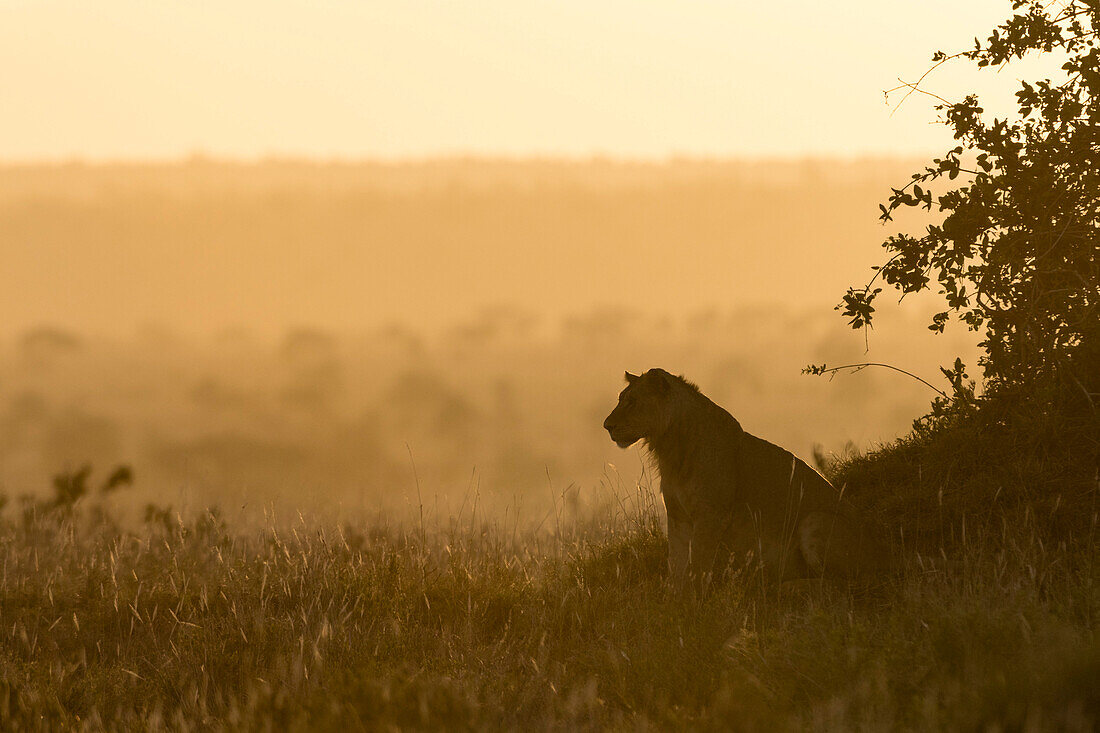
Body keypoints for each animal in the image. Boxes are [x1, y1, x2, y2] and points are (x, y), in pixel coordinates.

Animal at [607, 367, 888, 585]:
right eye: (620, 398)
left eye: (632, 401)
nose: (606, 425)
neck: (669, 446)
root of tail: (882, 552)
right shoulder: (677, 517)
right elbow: (675, 566)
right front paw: (674, 605)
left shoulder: (711, 516)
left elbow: (696, 567)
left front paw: (693, 606)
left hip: (815, 520)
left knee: (843, 584)